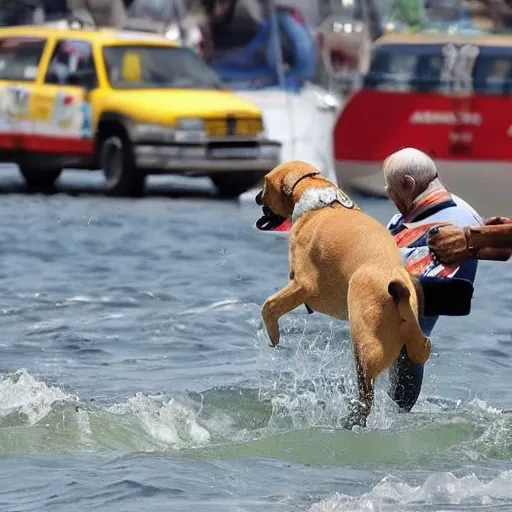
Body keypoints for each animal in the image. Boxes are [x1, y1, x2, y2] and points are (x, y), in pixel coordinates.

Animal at [254, 160, 430, 428]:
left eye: (265, 184)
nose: (255, 197)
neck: (317, 201)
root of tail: (398, 285)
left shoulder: (302, 284)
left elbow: (269, 305)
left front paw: (272, 334)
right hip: (404, 351)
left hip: (363, 342)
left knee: (366, 394)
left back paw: (352, 418)